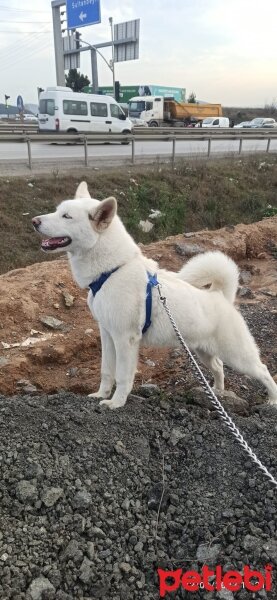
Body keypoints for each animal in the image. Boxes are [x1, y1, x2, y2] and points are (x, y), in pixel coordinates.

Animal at [33, 180, 276, 410]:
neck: (113, 270)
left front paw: (116, 403)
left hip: (238, 356)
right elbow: (106, 371)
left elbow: (122, 376)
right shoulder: (107, 334)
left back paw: (272, 401)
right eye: (57, 211)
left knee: (264, 371)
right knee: (218, 366)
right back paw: (218, 391)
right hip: (203, 351)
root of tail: (220, 296)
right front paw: (101, 394)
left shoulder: (125, 339)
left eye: (66, 216)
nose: (34, 221)